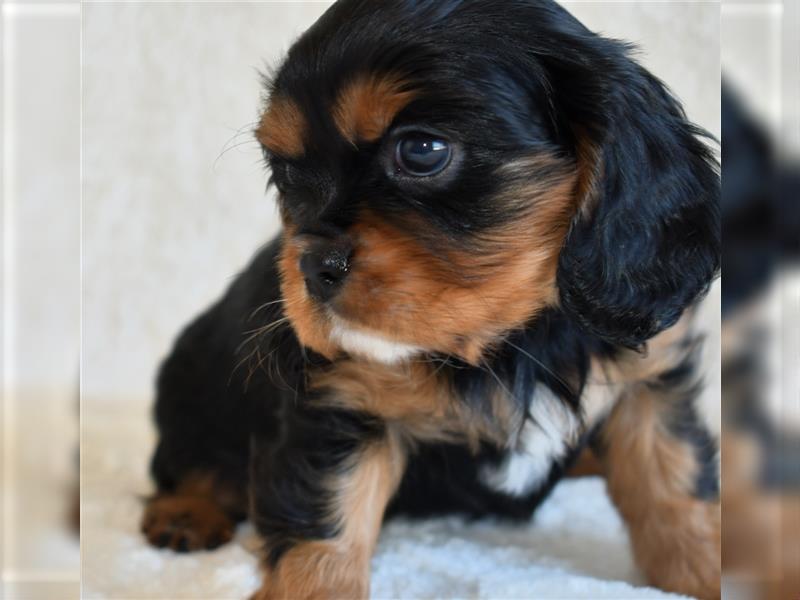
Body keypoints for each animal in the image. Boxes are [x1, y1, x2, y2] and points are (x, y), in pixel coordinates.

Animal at [141, 2, 720, 596]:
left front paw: (704, 569)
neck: (512, 337)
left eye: (422, 150)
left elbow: (674, 487)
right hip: (195, 390)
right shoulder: (341, 398)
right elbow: (326, 525)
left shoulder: (649, 384)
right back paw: (185, 512)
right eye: (285, 173)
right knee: (187, 462)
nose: (311, 266)